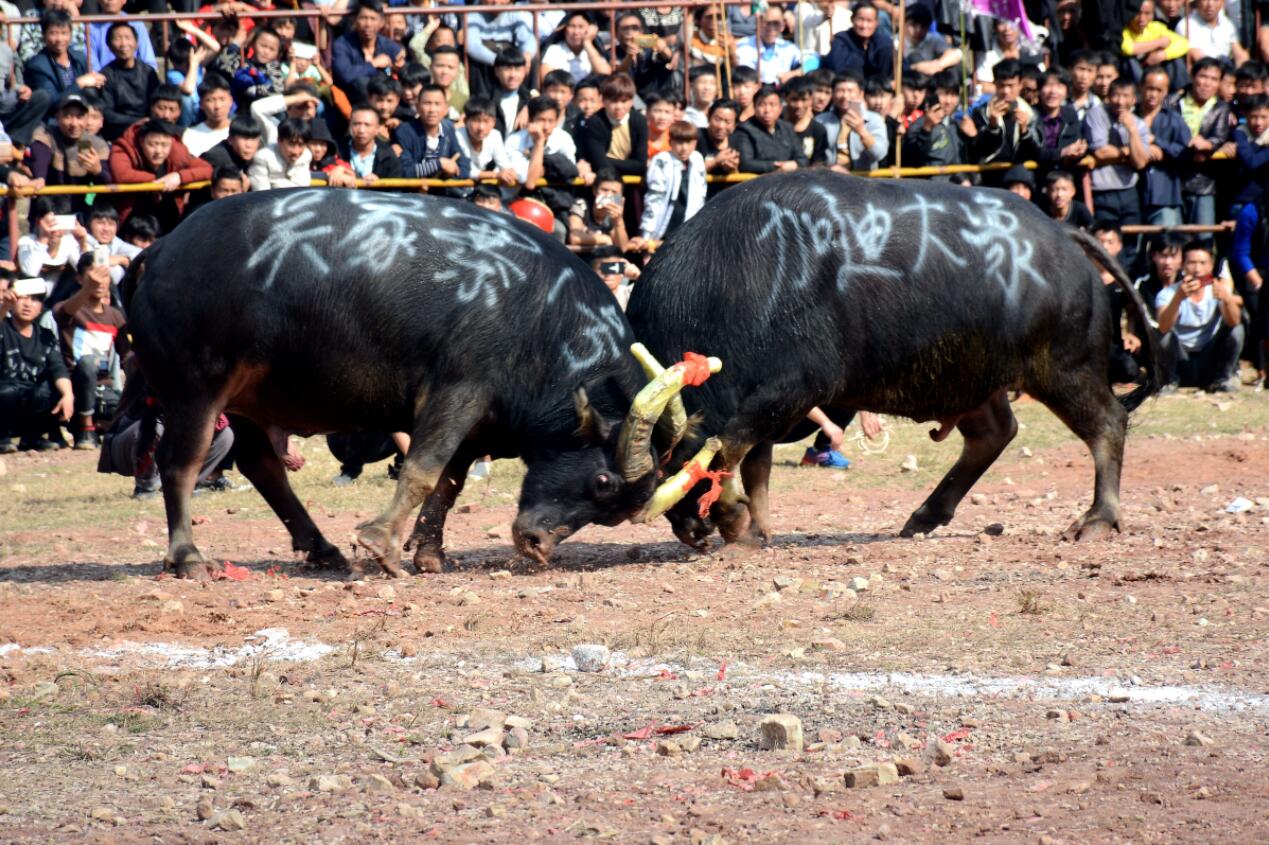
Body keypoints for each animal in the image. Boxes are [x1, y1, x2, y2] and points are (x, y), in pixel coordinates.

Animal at [126, 187, 715, 576]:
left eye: (616, 513)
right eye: (604, 482)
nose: (536, 544)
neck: (542, 319)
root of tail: (161, 251)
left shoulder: (477, 419)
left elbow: (450, 483)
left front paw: (429, 552)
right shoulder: (457, 390)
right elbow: (422, 471)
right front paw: (382, 546)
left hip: (248, 400)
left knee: (261, 466)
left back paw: (321, 549)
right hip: (195, 391)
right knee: (180, 464)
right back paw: (188, 557)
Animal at [624, 172, 1162, 545]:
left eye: (668, 461)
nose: (689, 530)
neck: (731, 279)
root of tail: (1064, 234)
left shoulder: (794, 387)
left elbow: (730, 445)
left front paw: (734, 519)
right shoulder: (766, 397)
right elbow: (754, 460)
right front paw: (755, 528)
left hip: (1064, 368)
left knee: (1107, 423)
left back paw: (1097, 520)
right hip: (971, 375)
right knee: (995, 433)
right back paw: (924, 516)